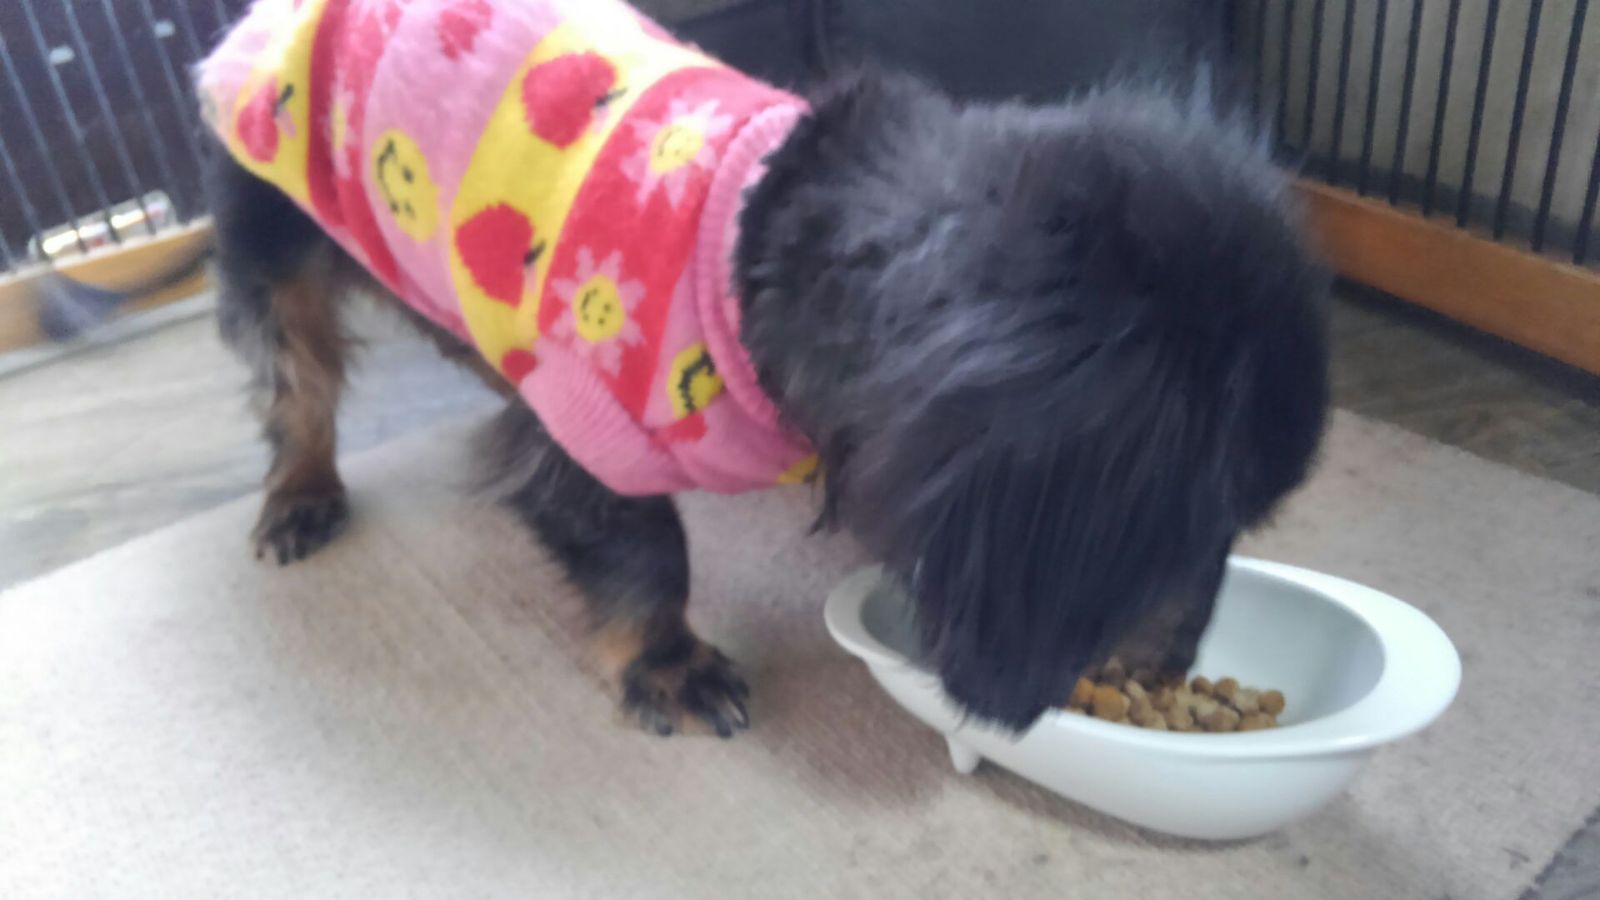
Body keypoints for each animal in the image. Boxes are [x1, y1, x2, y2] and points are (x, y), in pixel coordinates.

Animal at [199, 0, 1329, 737]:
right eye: (1183, 527)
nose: (1178, 666)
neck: (761, 243)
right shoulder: (583, 425)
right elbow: (643, 549)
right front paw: (670, 667)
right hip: (274, 224)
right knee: (297, 386)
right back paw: (300, 495)